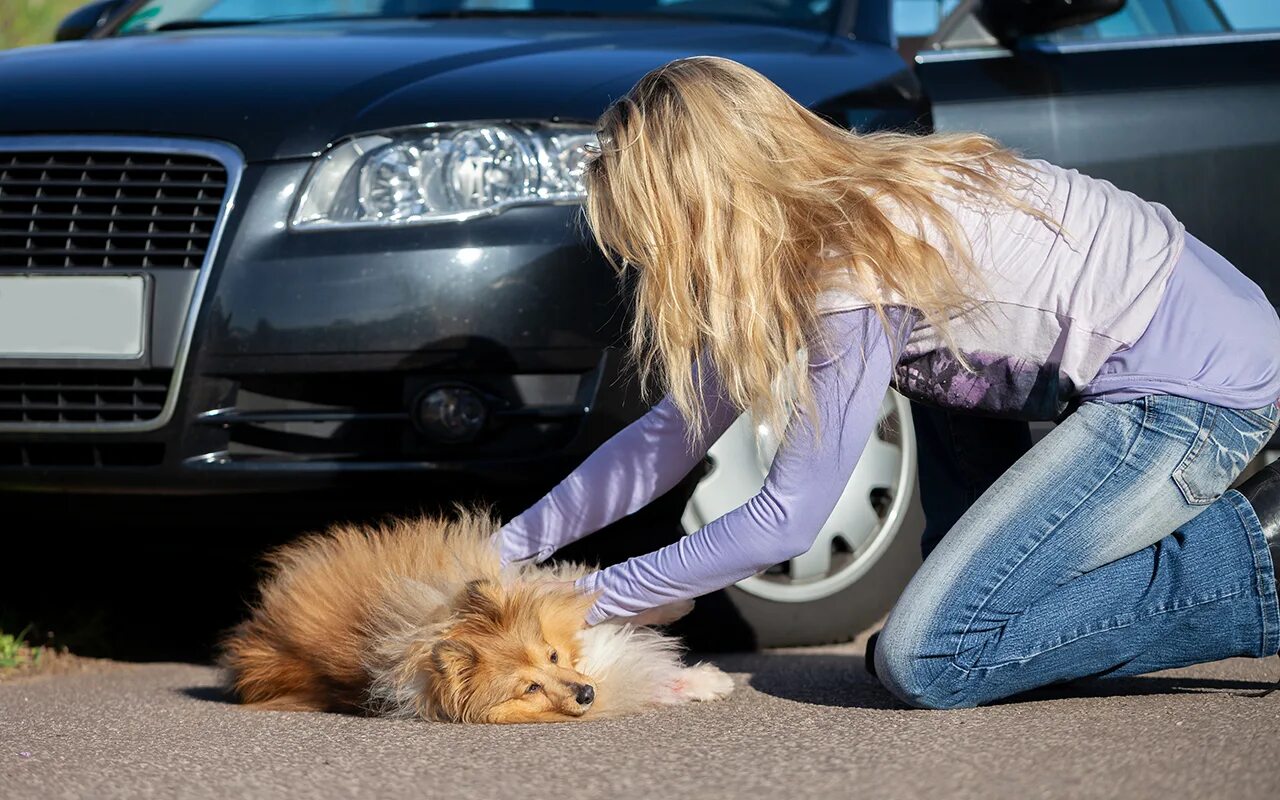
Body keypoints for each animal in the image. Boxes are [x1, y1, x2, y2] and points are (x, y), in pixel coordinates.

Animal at [222, 512, 732, 721]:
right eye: (529, 688)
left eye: (551, 656)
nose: (586, 693)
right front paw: (708, 681)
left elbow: (580, 590)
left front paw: (678, 604)